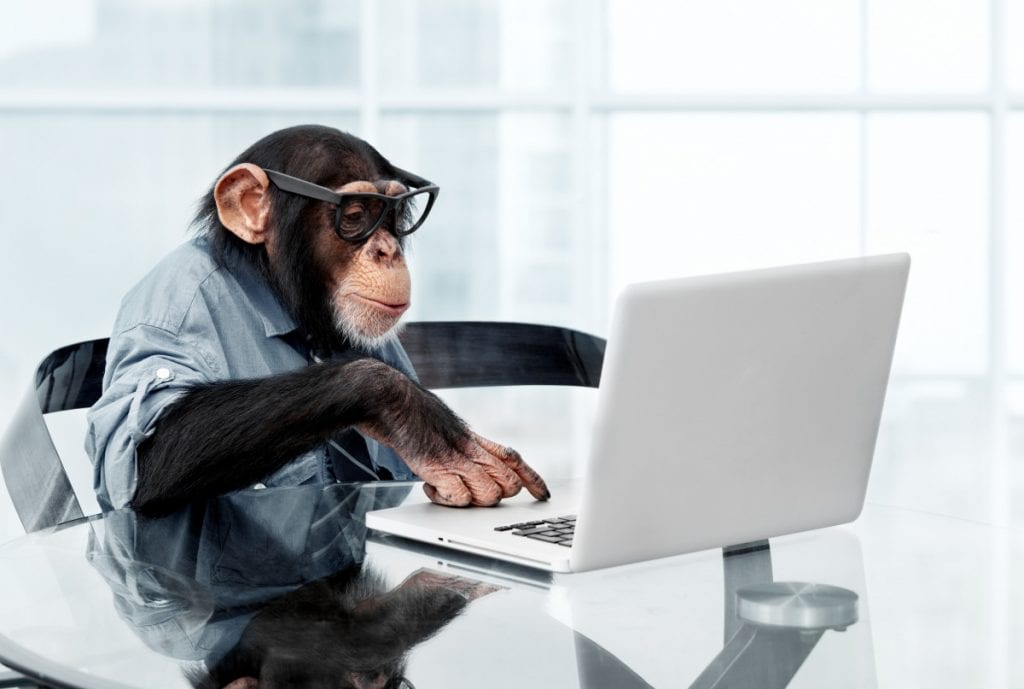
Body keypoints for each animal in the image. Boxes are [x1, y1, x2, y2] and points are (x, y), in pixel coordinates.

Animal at [85, 124, 549, 516]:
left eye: (396, 214)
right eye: (358, 214)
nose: (387, 250)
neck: (276, 293)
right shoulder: (172, 308)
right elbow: (147, 452)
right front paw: (421, 421)